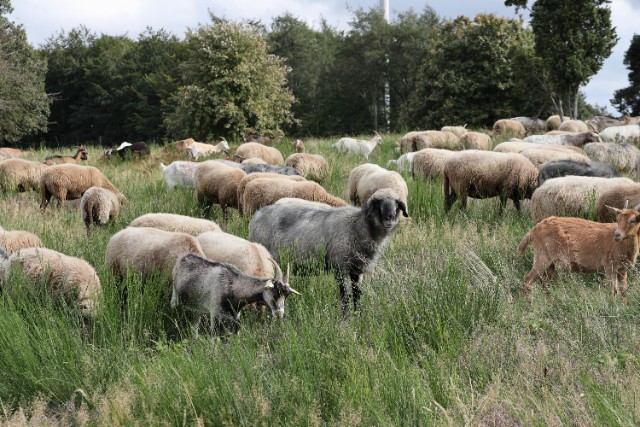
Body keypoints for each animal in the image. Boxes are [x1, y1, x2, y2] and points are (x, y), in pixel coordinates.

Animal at [170, 253, 299, 337]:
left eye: (286, 295)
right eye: (275, 292)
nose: (280, 313)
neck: (233, 284)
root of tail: (182, 258)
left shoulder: (237, 314)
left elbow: (236, 333)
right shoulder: (215, 312)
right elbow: (214, 337)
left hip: (197, 309)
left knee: (195, 325)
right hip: (175, 297)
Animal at [249, 188, 408, 315]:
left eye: (397, 204)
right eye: (378, 203)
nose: (389, 218)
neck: (358, 226)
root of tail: (256, 217)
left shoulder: (357, 269)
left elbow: (356, 293)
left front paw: (358, 315)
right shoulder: (340, 266)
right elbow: (344, 294)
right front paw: (346, 317)